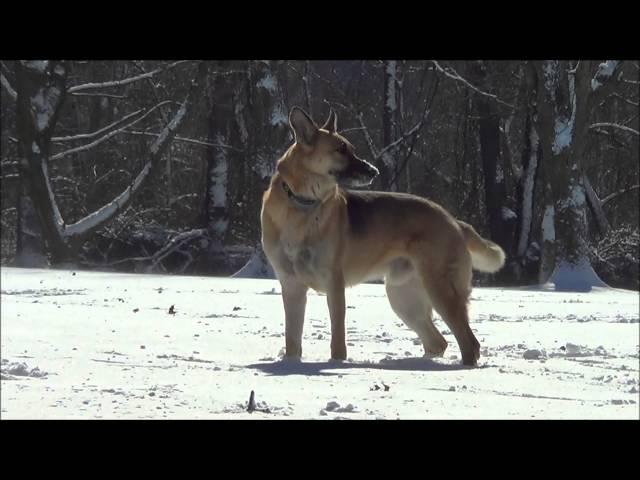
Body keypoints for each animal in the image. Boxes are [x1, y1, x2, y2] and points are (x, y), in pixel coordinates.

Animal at [260, 107, 504, 366]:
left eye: (351, 148)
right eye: (340, 150)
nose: (373, 171)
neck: (301, 205)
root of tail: (454, 221)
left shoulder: (334, 285)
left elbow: (338, 339)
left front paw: (337, 364)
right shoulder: (291, 285)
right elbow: (292, 338)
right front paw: (290, 364)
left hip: (440, 290)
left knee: (468, 342)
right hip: (403, 298)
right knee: (439, 341)